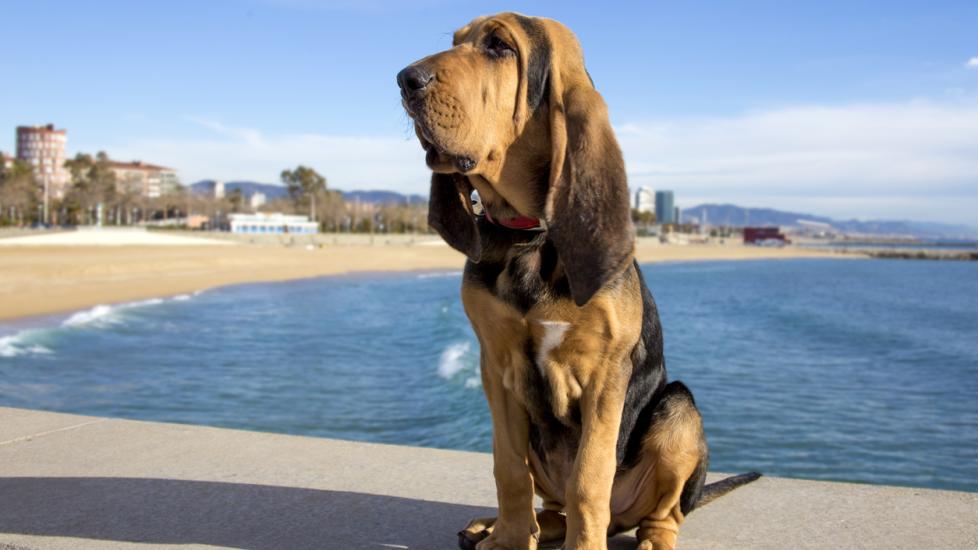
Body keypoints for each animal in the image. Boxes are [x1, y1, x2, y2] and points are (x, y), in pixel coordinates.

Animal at [394, 11, 756, 550]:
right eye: (457, 41)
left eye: (500, 46)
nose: (405, 79)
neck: (530, 234)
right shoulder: (496, 367)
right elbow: (508, 470)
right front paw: (508, 539)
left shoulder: (606, 376)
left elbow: (589, 478)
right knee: (553, 505)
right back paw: (497, 526)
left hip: (679, 411)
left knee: (659, 511)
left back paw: (652, 539)